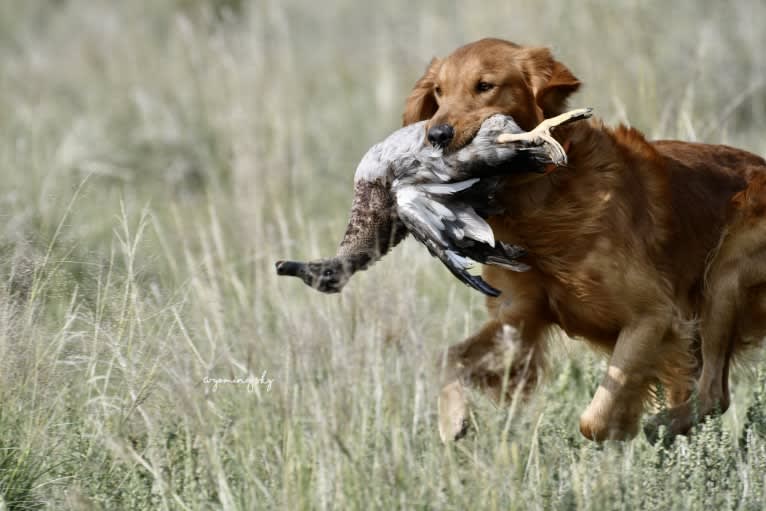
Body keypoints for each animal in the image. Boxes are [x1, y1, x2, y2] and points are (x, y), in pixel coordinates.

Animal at [408, 38, 766, 442]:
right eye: (439, 92)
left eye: (485, 86)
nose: (437, 136)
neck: (543, 198)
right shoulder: (517, 317)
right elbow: (448, 357)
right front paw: (453, 420)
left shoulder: (654, 316)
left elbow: (594, 419)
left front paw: (623, 426)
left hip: (725, 276)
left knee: (714, 394)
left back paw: (661, 426)